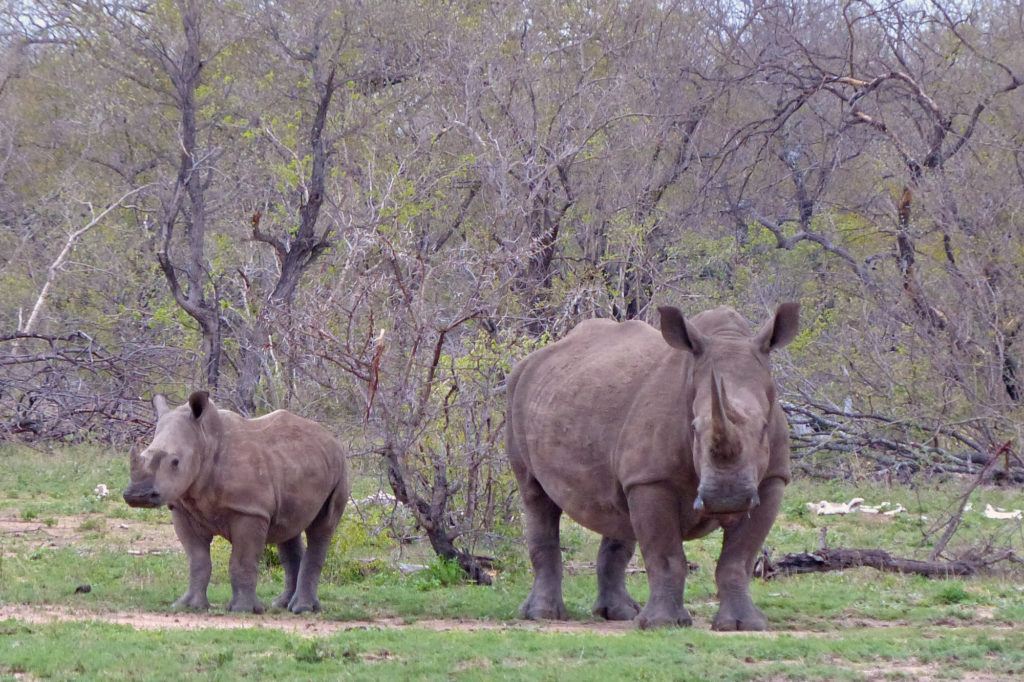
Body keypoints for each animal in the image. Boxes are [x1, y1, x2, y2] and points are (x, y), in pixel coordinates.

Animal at [123, 391, 349, 614]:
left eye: (175, 462)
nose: (137, 496)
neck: (204, 440)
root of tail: (332, 438)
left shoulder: (249, 510)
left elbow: (242, 561)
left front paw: (243, 610)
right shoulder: (181, 509)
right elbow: (198, 560)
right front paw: (188, 605)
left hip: (340, 467)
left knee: (322, 527)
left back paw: (303, 609)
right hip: (297, 462)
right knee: (288, 527)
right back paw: (282, 605)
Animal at [506, 303, 799, 630]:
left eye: (764, 427)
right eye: (694, 428)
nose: (728, 498)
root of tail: (534, 358)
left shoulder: (772, 480)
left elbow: (739, 559)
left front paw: (743, 625)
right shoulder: (651, 480)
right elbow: (666, 556)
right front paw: (663, 623)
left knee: (617, 510)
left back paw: (620, 614)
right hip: (516, 391)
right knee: (535, 495)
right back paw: (542, 615)